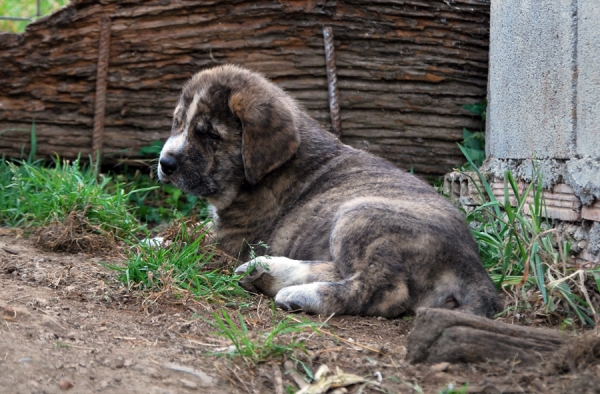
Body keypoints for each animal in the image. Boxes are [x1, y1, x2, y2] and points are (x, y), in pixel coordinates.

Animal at [157, 63, 500, 318]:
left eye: (211, 135)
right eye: (177, 122)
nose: (165, 163)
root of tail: (472, 264)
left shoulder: (230, 241)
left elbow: (188, 243)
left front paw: (154, 243)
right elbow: (188, 230)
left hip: (360, 214)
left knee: (384, 290)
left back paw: (299, 294)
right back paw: (269, 271)